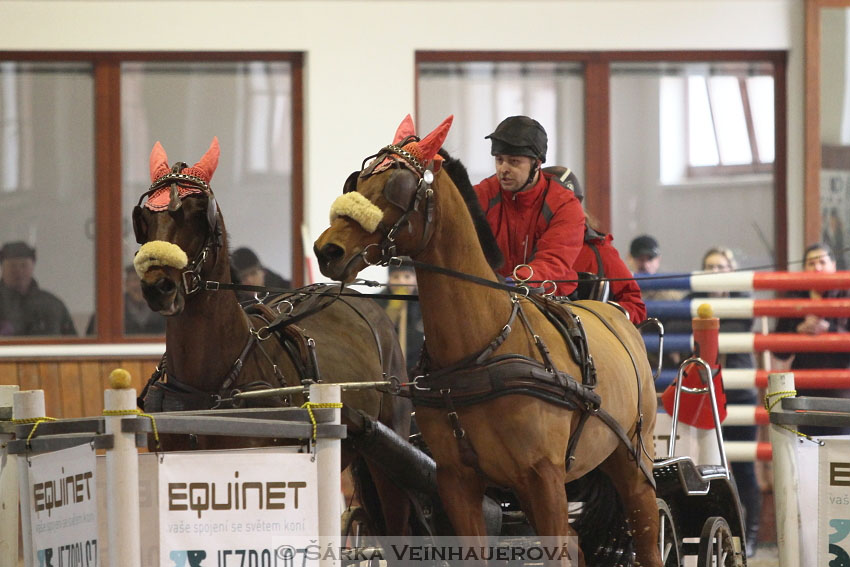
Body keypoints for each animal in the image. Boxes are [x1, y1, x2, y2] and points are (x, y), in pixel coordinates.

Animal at [312, 117, 664, 564]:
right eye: (356, 181)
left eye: (397, 187)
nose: (327, 250)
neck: (483, 351)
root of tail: (619, 317)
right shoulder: (458, 482)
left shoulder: (544, 476)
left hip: (632, 463)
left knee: (646, 535)